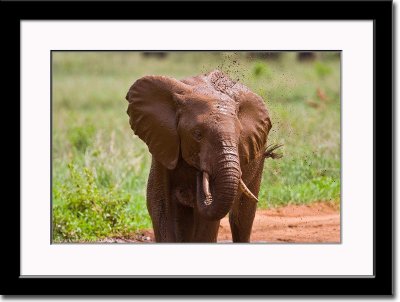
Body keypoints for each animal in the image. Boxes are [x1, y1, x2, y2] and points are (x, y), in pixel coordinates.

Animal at [126, 69, 280, 242]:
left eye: (240, 136)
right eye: (197, 134)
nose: (200, 173)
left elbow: (207, 220)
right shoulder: (163, 144)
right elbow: (160, 206)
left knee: (242, 216)